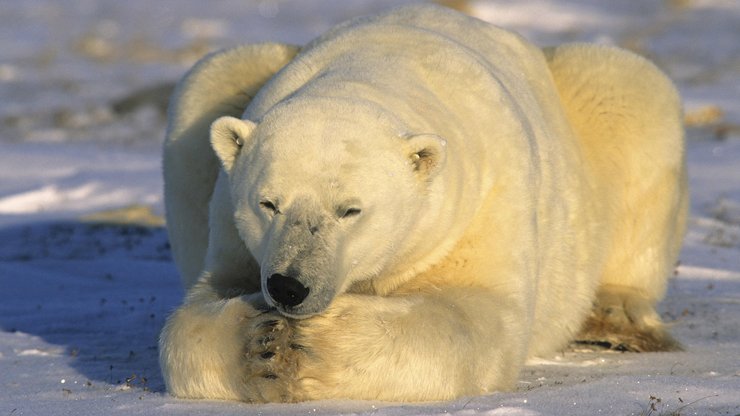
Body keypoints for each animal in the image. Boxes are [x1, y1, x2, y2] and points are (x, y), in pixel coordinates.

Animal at [160, 4, 688, 404]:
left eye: (349, 210)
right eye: (268, 203)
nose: (289, 286)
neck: (377, 69)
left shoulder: (482, 200)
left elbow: (477, 314)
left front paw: (309, 343)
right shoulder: (235, 232)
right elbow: (199, 310)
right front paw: (261, 343)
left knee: (631, 93)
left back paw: (618, 315)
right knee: (207, 84)